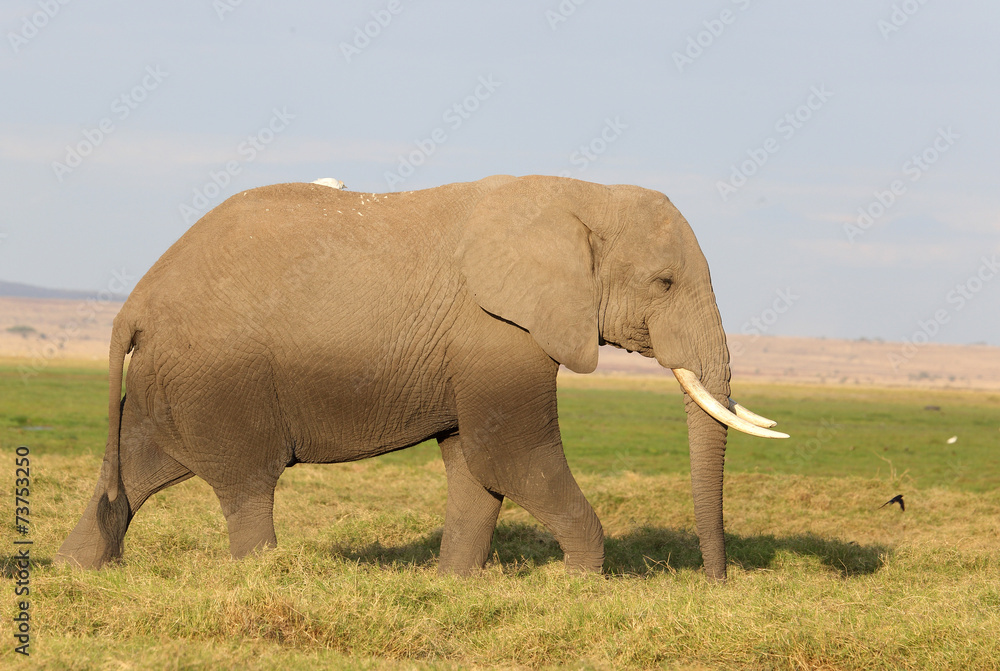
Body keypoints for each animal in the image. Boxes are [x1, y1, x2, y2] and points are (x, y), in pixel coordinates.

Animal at [56, 175, 787, 582]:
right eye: (663, 283)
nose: (715, 584)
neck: (583, 195)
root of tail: (135, 302)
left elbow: (476, 467)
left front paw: (453, 584)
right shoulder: (497, 330)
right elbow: (511, 456)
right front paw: (580, 586)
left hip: (172, 380)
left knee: (138, 466)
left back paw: (75, 570)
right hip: (218, 376)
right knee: (247, 486)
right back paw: (264, 577)